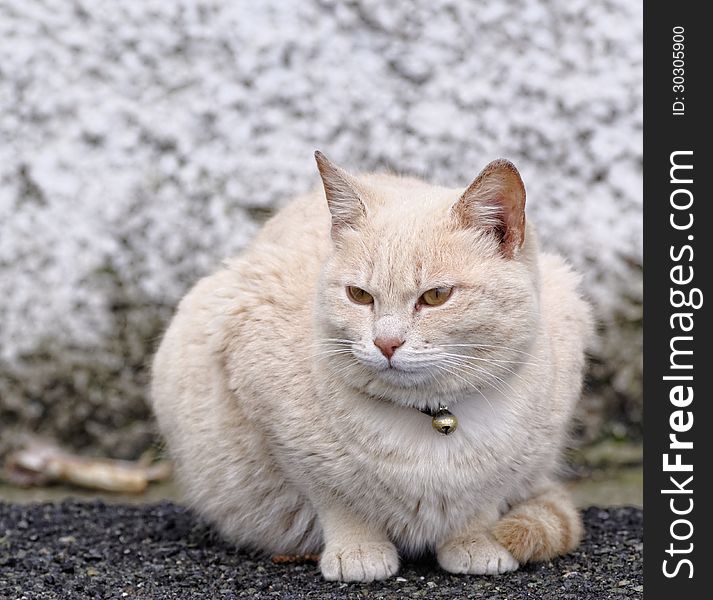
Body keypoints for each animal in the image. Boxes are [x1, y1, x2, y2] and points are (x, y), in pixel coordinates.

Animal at [153, 152, 592, 584]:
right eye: (359, 295)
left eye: (436, 296)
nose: (386, 343)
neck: (433, 416)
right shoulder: (282, 434)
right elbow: (339, 502)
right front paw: (358, 552)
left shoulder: (514, 466)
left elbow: (481, 505)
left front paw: (474, 543)